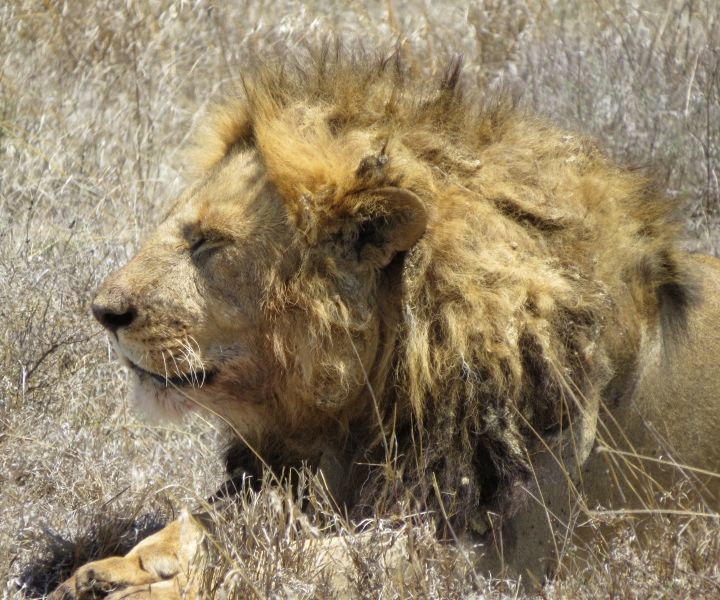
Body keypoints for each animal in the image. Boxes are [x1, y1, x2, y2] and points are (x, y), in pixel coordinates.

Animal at [50, 49, 720, 596]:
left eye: (208, 242)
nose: (102, 312)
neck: (368, 402)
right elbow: (206, 521)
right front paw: (112, 568)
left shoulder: (498, 553)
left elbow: (306, 564)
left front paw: (161, 588)